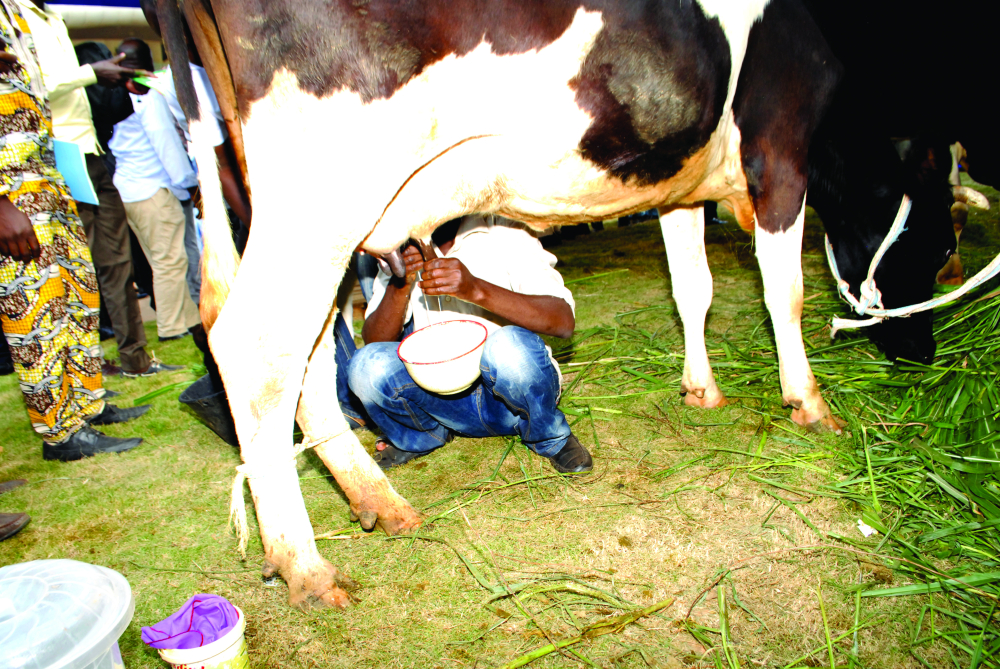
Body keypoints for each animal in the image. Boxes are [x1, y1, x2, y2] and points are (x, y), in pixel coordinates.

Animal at [154, 0, 844, 604]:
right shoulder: (781, 145)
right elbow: (783, 292)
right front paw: (809, 403)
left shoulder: (677, 182)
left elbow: (691, 288)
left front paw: (701, 388)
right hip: (327, 180)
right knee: (259, 344)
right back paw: (306, 567)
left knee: (314, 353)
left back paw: (379, 504)